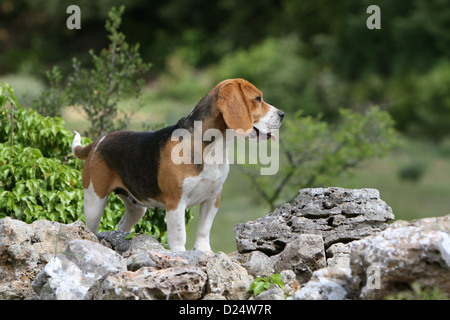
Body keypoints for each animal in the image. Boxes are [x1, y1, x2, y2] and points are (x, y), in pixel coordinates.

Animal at [71, 79, 284, 251]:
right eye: (258, 99)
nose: (282, 114)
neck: (213, 147)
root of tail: (97, 142)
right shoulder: (176, 202)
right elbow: (179, 235)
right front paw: (181, 255)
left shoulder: (213, 198)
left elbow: (204, 229)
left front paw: (204, 252)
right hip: (94, 201)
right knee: (91, 227)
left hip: (136, 207)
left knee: (122, 226)